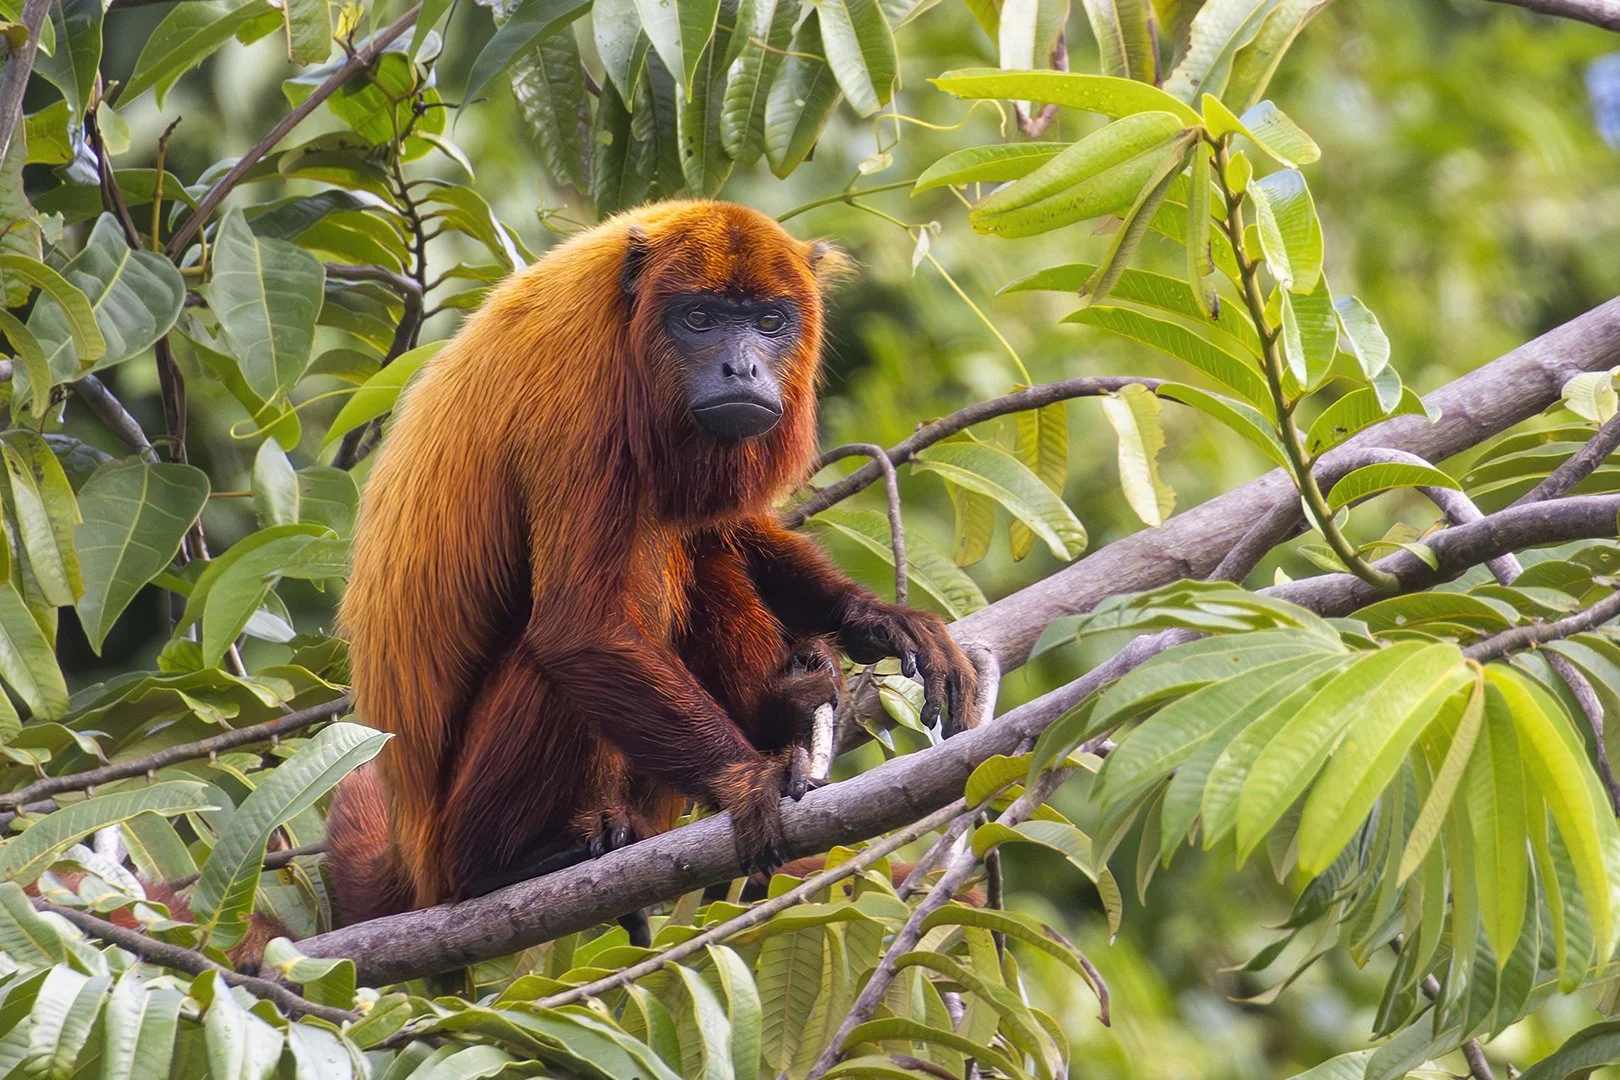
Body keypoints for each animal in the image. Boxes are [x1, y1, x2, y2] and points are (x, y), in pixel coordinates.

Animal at [327, 200, 980, 927]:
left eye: (770, 322)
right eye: (698, 318)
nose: (741, 371)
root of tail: (414, 857)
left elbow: (727, 527)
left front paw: (877, 619)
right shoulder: (579, 392)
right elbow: (579, 628)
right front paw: (745, 780)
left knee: (694, 545)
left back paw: (781, 706)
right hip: (455, 837)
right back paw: (503, 864)